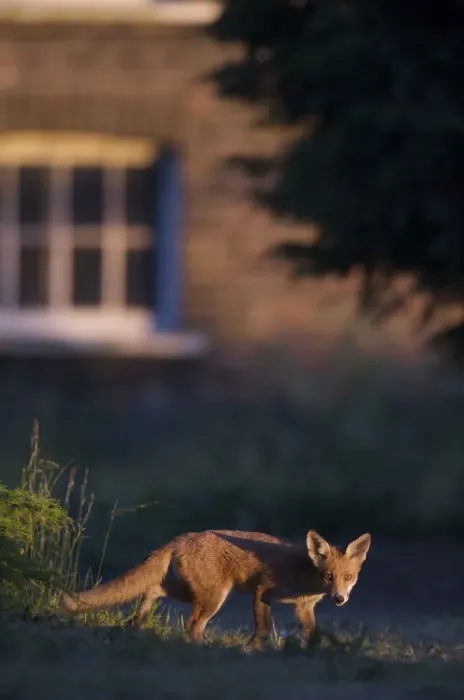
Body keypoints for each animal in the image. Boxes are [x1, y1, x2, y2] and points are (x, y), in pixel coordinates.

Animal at [61, 528, 371, 648]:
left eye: (348, 577)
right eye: (328, 575)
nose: (339, 599)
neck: (305, 573)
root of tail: (184, 537)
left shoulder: (304, 607)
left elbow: (313, 632)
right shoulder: (263, 592)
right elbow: (261, 628)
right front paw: (252, 649)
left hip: (193, 592)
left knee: (153, 589)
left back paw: (137, 623)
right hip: (214, 597)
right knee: (192, 624)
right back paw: (203, 648)